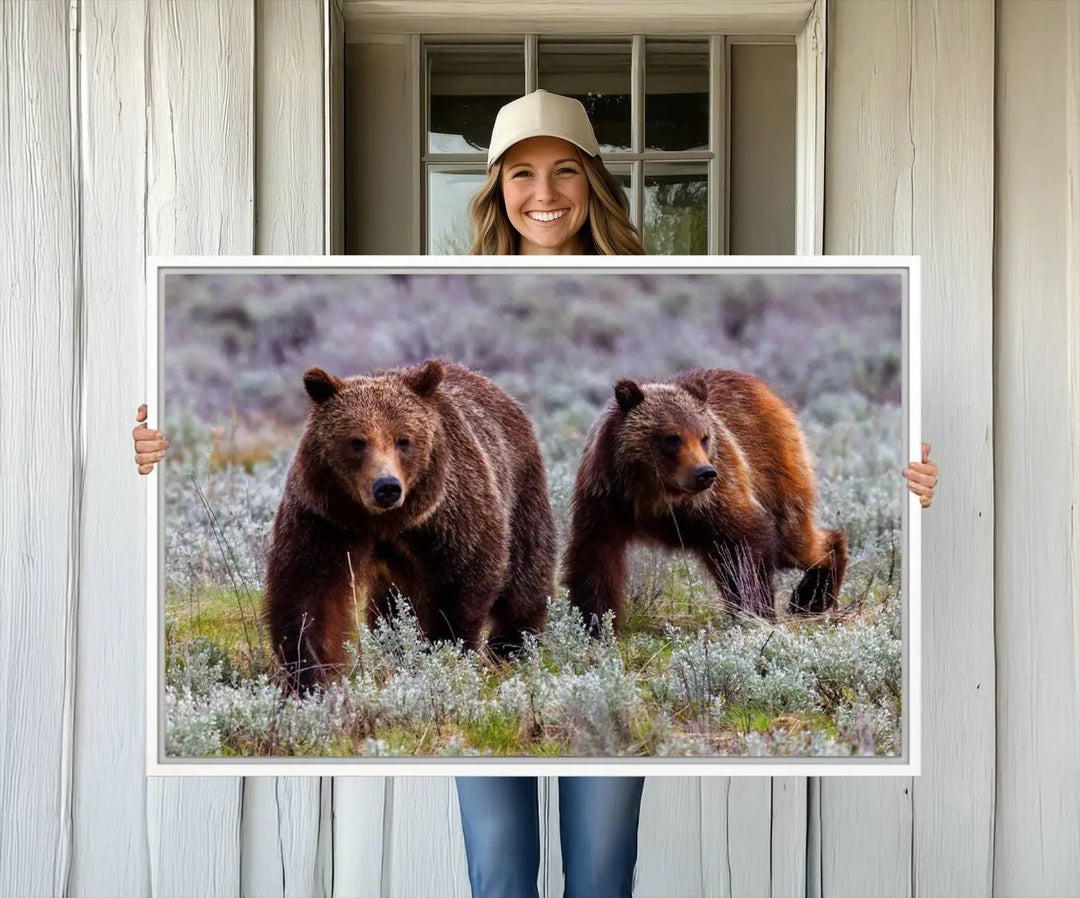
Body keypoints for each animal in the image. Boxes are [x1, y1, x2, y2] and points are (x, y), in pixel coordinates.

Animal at [261, 358, 557, 695]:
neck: (385, 523)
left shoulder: (448, 517)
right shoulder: (325, 519)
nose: (387, 487)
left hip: (521, 490)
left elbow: (461, 582)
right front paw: (310, 676)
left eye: (403, 440)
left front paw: (443, 651)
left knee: (526, 576)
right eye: (357, 441)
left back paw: (510, 647)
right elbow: (308, 595)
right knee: (388, 607)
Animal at [561, 369, 846, 635]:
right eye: (672, 437)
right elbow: (596, 558)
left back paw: (812, 595)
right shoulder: (605, 499)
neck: (656, 494)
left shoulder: (717, 497)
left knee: (793, 538)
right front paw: (595, 625)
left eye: (704, 437)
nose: (705, 473)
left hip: (773, 467)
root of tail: (764, 389)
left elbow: (745, 545)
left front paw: (756, 612)